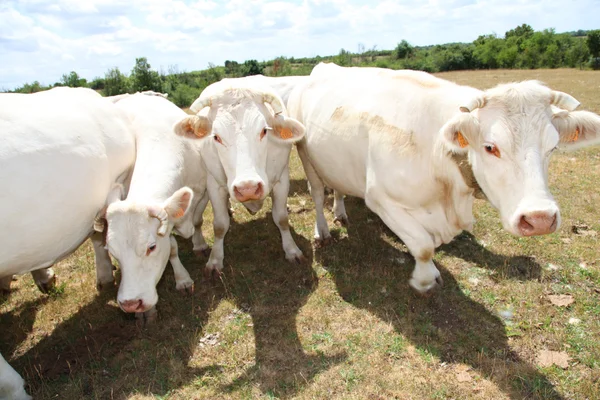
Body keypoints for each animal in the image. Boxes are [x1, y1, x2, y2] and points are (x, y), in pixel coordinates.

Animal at [105, 92, 211, 320]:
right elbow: (172, 248)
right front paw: (182, 280)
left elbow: (198, 221)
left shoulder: (203, 189)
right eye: (112, 251)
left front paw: (199, 246)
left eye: (151, 247)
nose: (130, 304)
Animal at [172, 83, 304, 274]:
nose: (247, 188)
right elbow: (220, 226)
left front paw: (291, 250)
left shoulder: (282, 179)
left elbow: (281, 218)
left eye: (264, 131)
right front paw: (215, 259)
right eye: (216, 136)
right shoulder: (214, 185)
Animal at [288, 62, 596, 294]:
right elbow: (424, 247)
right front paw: (425, 280)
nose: (540, 218)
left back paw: (340, 211)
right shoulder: (381, 199)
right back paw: (322, 231)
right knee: (317, 193)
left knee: (338, 188)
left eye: (552, 147)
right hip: (306, 154)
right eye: (490, 147)